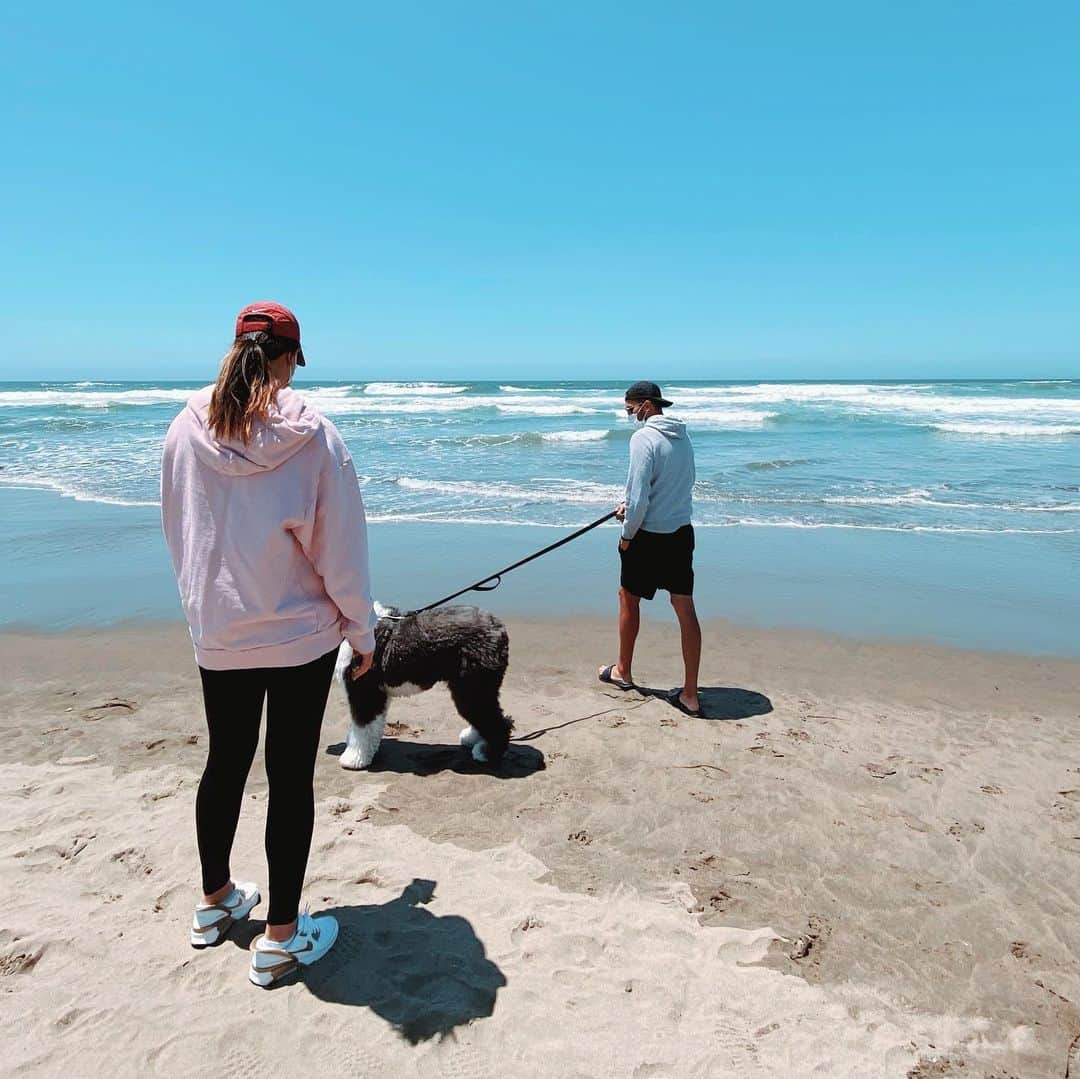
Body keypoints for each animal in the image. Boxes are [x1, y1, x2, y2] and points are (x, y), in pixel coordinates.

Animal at [334, 604, 511, 773]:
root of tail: (499, 628)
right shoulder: (378, 694)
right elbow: (371, 727)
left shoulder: (365, 691)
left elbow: (363, 727)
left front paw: (353, 758)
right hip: (474, 689)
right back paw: (472, 738)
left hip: (472, 687)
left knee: (499, 722)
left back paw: (487, 753)